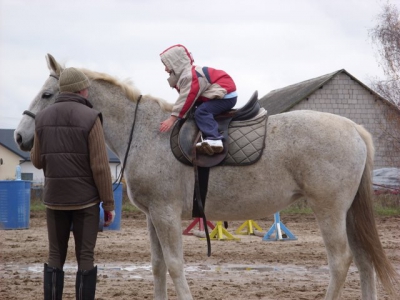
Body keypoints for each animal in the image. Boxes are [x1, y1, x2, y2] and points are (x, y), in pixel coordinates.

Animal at [14, 54, 396, 300]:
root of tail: (355, 129)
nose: (19, 137)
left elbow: (174, 265)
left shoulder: (167, 215)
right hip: (347, 213)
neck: (146, 132)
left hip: (329, 210)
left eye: (47, 94)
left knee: (341, 261)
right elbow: (157, 266)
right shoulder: (154, 217)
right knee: (363, 261)